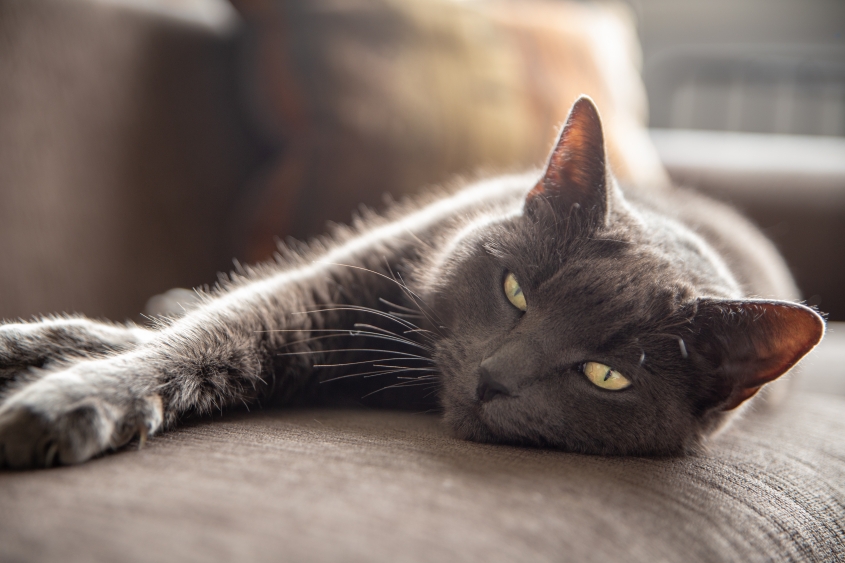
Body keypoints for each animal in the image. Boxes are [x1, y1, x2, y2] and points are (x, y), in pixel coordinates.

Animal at [0, 96, 820, 468]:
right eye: (514, 291)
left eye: (605, 376)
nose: (493, 378)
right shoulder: (333, 284)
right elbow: (215, 329)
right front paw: (70, 387)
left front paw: (68, 398)